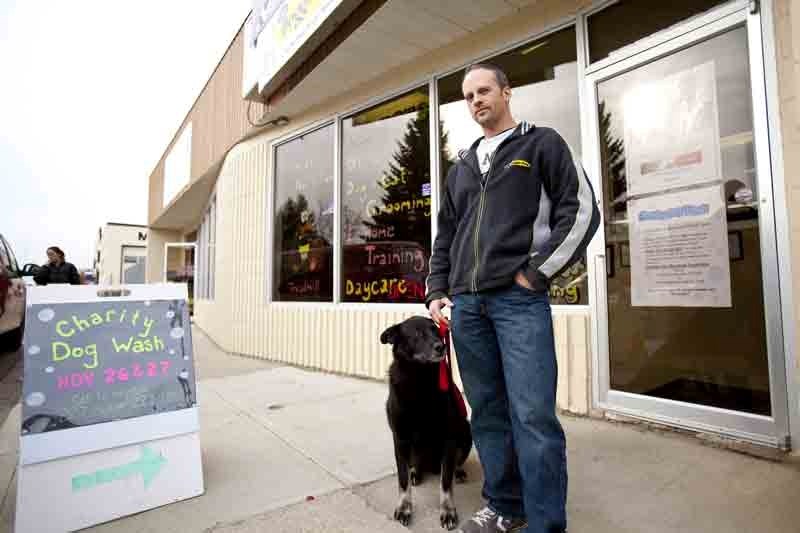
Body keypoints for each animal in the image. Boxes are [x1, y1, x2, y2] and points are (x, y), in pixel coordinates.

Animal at [380, 316, 472, 528]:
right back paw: (416, 472)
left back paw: (458, 471)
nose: (441, 347)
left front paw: (448, 510)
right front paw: (404, 507)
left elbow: (445, 483)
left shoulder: (449, 439)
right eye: (416, 334)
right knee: (415, 465)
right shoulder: (400, 439)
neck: (420, 380)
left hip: (465, 431)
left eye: (436, 331)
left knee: (454, 463)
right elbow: (403, 480)